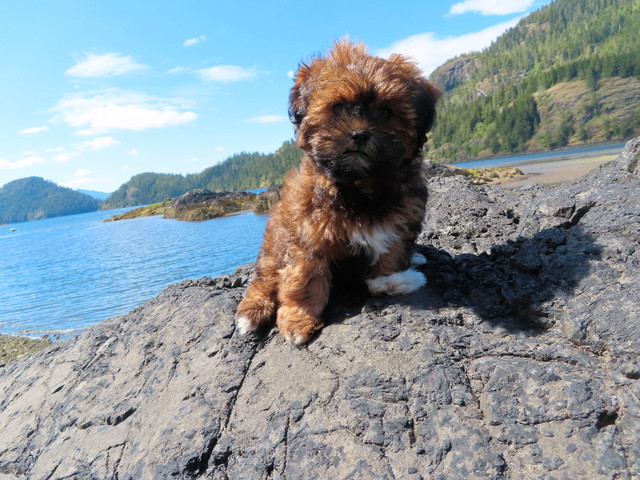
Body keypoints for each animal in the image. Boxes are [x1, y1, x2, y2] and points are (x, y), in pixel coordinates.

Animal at [236, 39, 440, 344]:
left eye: (386, 112)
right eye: (338, 107)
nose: (359, 134)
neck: (359, 186)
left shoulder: (401, 219)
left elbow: (391, 254)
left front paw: (392, 281)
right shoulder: (307, 233)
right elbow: (304, 278)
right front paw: (299, 318)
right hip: (274, 244)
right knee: (264, 278)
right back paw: (252, 310)